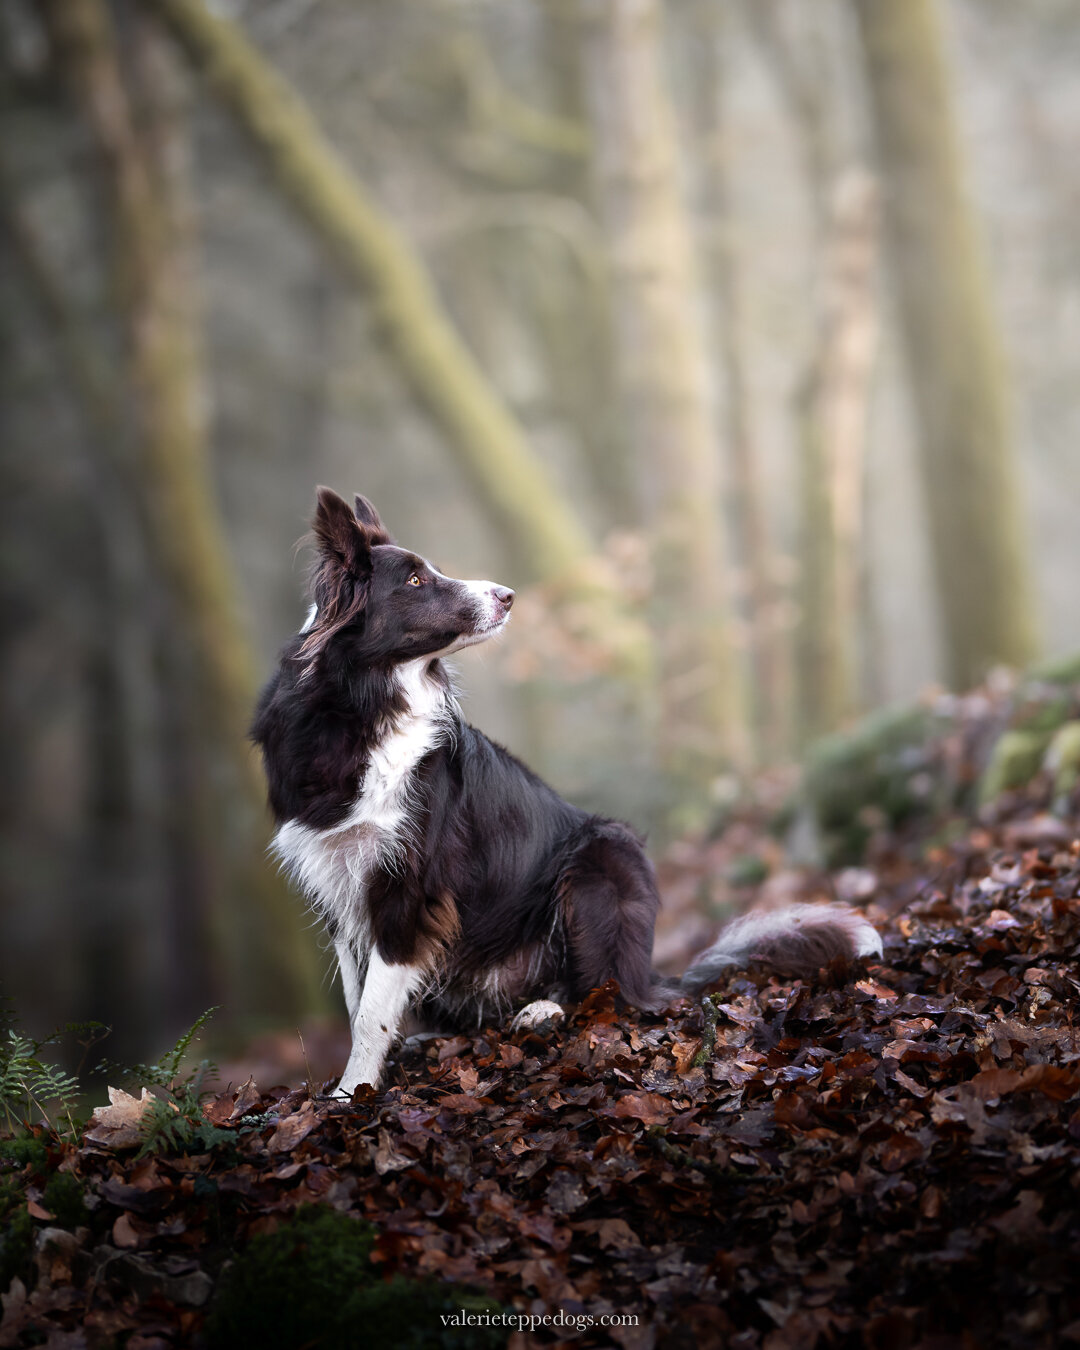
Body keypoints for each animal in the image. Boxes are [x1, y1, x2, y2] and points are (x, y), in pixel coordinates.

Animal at [255, 491, 885, 1090]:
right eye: (413, 580)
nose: (508, 596)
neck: (365, 706)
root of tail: (650, 973)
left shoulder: (410, 887)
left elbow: (369, 1015)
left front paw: (352, 1095)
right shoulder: (337, 881)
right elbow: (358, 1001)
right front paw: (360, 1084)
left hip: (601, 857)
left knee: (608, 995)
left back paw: (543, 1012)